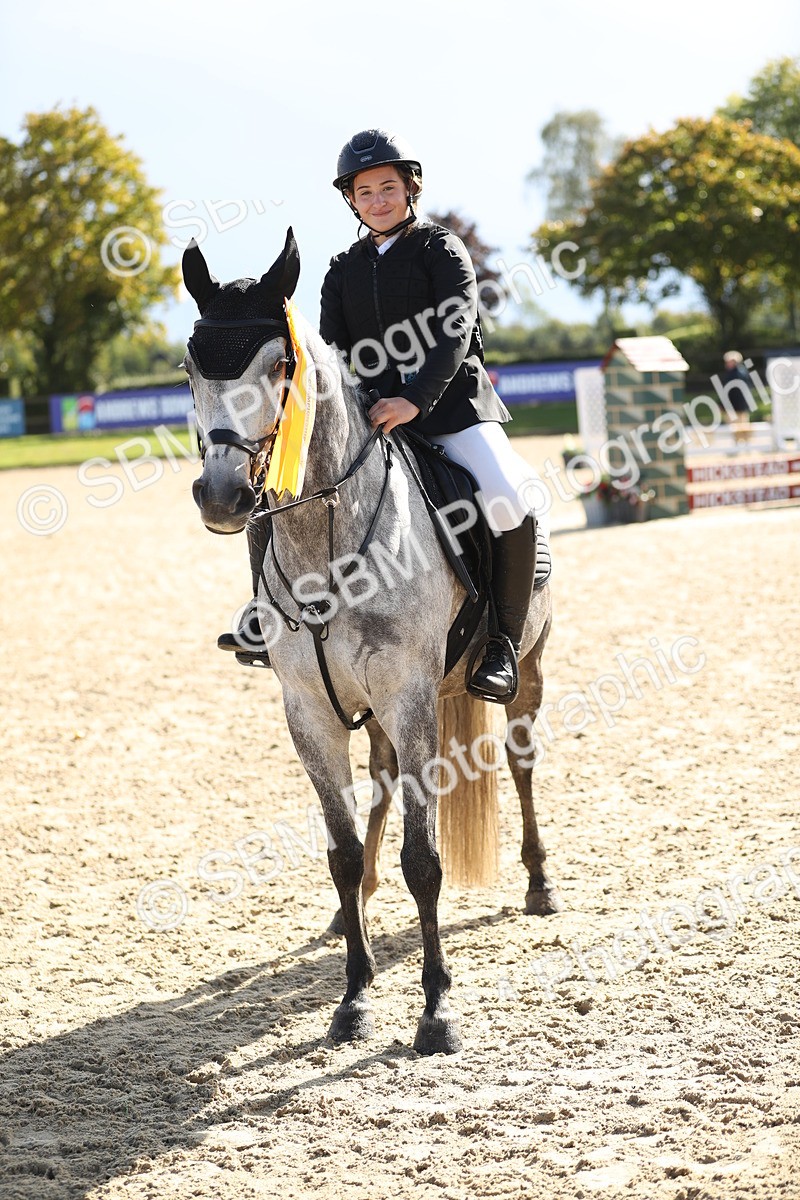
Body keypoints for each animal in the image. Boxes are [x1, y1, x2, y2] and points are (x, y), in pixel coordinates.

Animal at [181, 228, 562, 1055]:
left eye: (280, 366)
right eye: (190, 369)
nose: (223, 498)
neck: (323, 540)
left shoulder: (409, 695)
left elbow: (426, 860)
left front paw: (436, 1011)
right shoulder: (309, 713)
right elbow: (342, 851)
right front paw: (354, 996)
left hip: (526, 669)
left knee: (520, 764)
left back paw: (540, 884)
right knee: (383, 788)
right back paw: (349, 913)